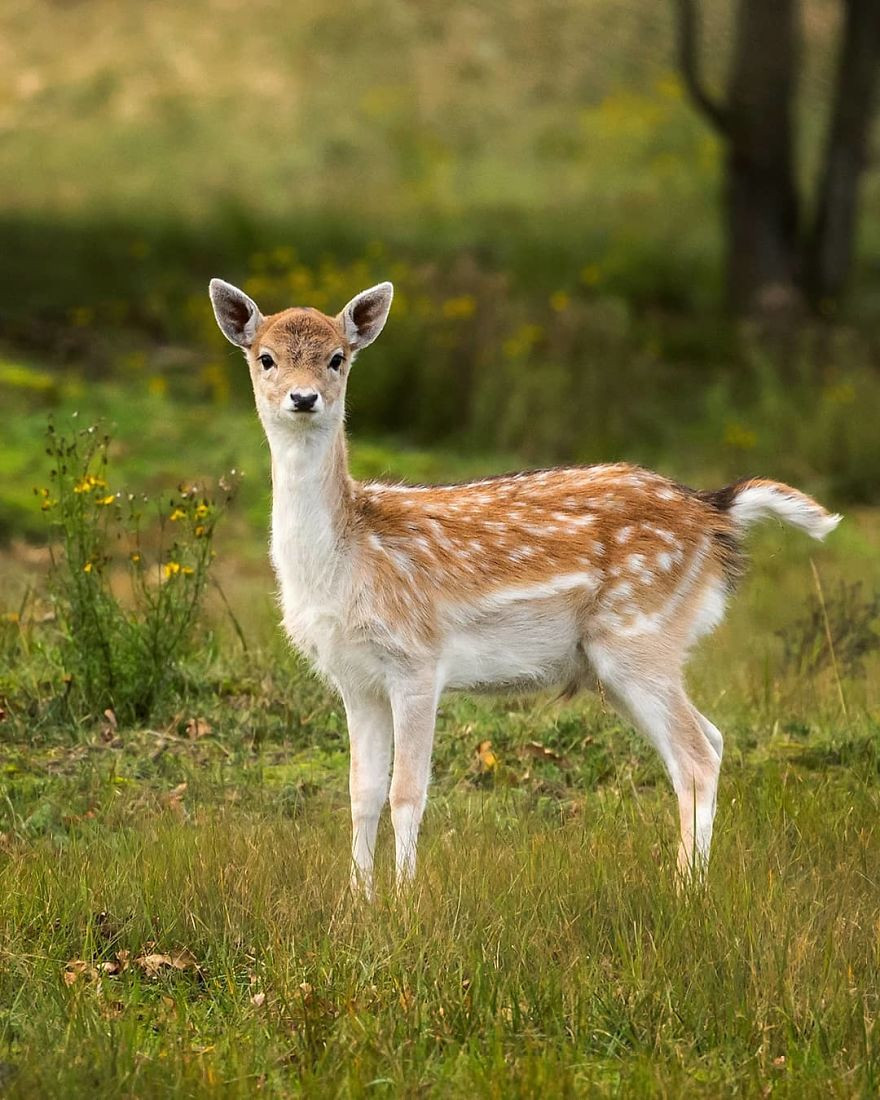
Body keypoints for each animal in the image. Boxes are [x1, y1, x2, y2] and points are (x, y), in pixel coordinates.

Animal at [210, 275, 840, 893]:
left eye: (337, 358)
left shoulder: (418, 660)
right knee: (710, 739)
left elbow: (407, 794)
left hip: (638, 633)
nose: (303, 397)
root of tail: (715, 513)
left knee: (695, 757)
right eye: (265, 357)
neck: (346, 561)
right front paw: (358, 903)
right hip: (623, 659)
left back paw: (686, 893)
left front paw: (406, 904)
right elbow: (361, 795)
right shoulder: (355, 677)